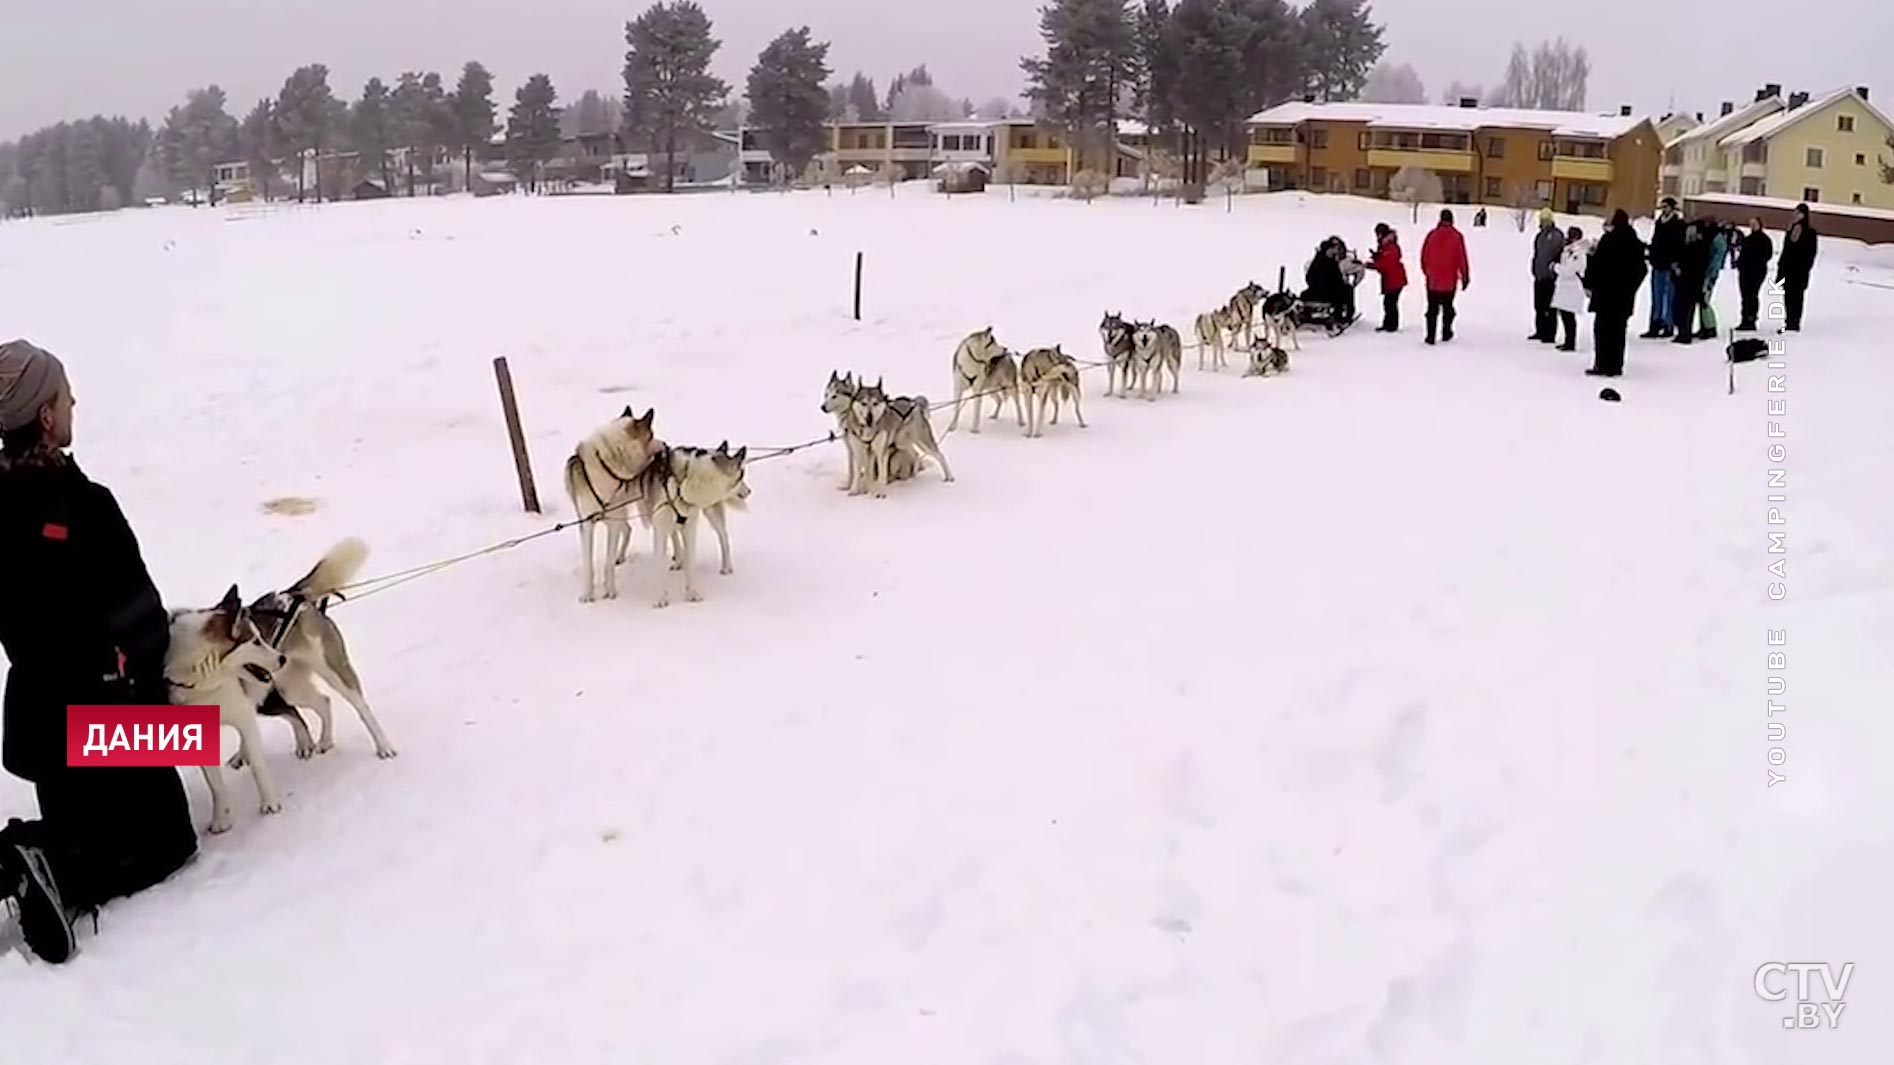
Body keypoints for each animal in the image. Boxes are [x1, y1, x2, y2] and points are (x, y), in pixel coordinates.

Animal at [560, 405, 666, 602]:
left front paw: (610, 591)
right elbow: (588, 564)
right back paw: (621, 556)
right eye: (652, 435)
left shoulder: (613, 524)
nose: (664, 444)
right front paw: (588, 594)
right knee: (628, 529)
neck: (607, 465)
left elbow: (608, 563)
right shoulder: (587, 524)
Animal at [636, 439, 753, 606]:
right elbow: (660, 564)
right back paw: (678, 560)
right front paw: (661, 599)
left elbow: (691, 563)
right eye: (742, 476)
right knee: (675, 535)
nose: (749, 491)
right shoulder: (661, 527)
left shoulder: (690, 526)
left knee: (723, 537)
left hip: (712, 515)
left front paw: (692, 593)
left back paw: (726, 566)